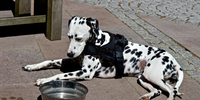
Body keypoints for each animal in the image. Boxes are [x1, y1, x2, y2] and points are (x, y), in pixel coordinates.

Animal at [22, 16, 184, 99]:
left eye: (78, 38)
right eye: (69, 36)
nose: (70, 53)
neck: (97, 42)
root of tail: (175, 61)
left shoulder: (85, 72)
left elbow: (59, 75)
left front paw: (44, 79)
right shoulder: (72, 62)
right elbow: (48, 61)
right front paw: (32, 66)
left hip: (153, 75)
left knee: (171, 91)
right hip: (143, 78)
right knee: (159, 90)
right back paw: (147, 96)